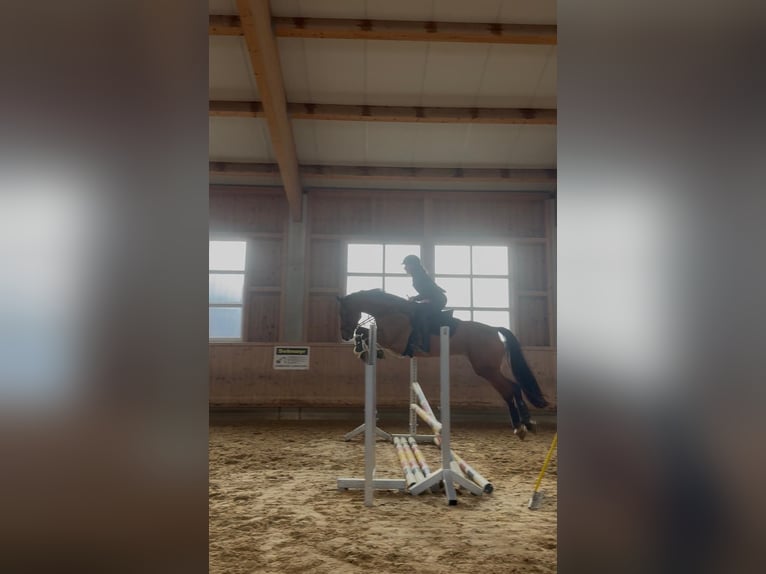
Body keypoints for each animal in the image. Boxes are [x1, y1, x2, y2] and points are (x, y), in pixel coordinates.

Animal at [337, 289, 549, 439]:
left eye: (343, 313)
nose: (344, 336)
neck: (391, 311)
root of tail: (494, 329)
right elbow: (364, 332)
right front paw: (366, 351)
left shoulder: (395, 342)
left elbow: (364, 331)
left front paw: (363, 350)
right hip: (487, 369)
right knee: (511, 389)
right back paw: (523, 426)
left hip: (486, 369)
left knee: (511, 388)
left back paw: (523, 425)